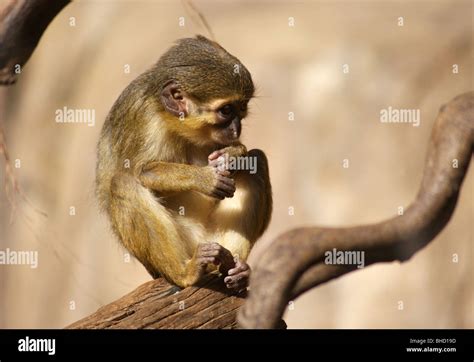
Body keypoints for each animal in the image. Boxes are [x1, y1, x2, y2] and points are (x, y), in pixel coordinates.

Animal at [96, 36, 272, 292]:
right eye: (226, 111)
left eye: (241, 110)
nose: (236, 129)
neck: (172, 119)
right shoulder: (144, 116)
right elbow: (141, 170)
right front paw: (206, 178)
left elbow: (245, 156)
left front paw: (233, 154)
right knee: (123, 182)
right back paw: (185, 273)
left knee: (257, 161)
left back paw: (235, 269)